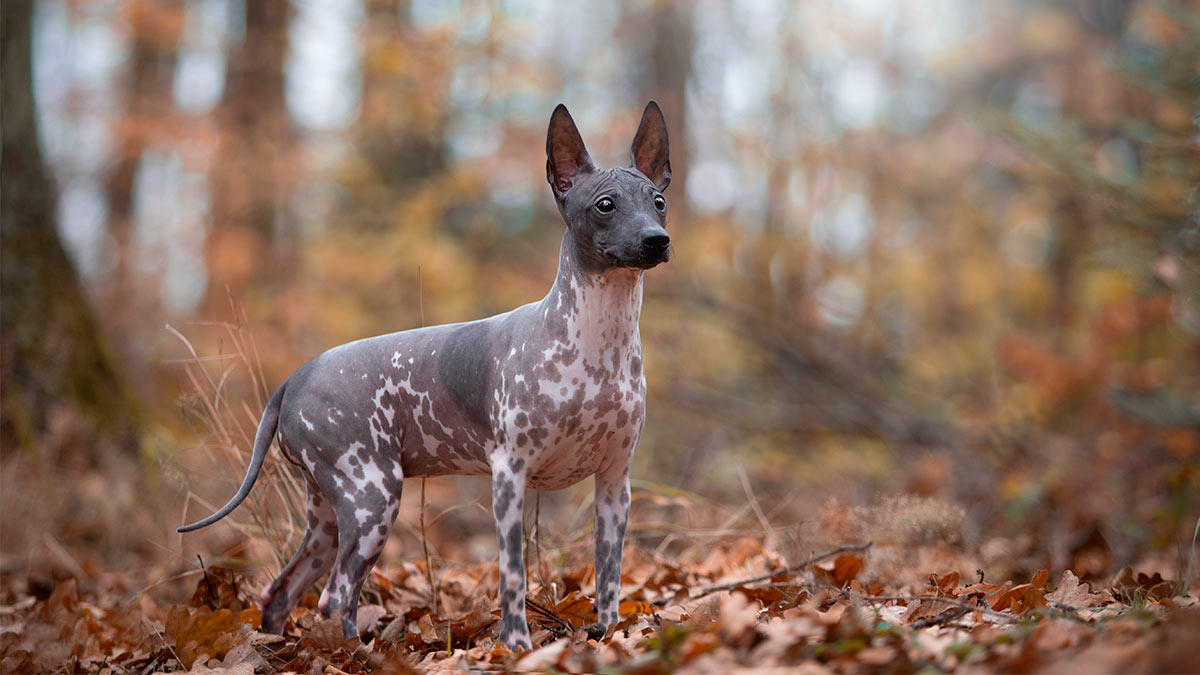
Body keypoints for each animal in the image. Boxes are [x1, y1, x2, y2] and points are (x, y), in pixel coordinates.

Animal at [177, 99, 672, 648]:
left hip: (329, 515)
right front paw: (517, 646)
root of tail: (296, 377)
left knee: (282, 591)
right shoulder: (509, 478)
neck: (596, 342)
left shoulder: (614, 485)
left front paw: (610, 636)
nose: (657, 240)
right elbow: (514, 574)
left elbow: (609, 577)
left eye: (658, 201)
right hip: (372, 499)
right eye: (605, 205)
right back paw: (359, 654)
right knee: (335, 596)